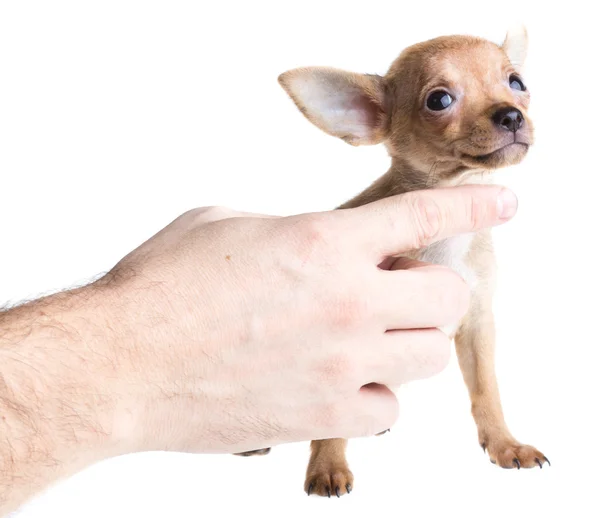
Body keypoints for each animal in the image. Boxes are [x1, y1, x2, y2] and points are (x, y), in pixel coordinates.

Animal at [237, 26, 548, 498]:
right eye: (439, 100)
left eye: (516, 82)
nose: (511, 115)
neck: (449, 235)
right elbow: (332, 420)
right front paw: (328, 465)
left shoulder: (477, 324)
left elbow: (486, 392)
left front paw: (504, 444)